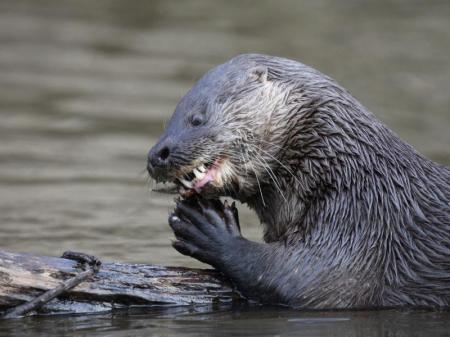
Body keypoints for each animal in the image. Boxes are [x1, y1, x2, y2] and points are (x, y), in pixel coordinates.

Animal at [146, 53, 448, 308]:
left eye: (197, 118)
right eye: (169, 121)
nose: (155, 155)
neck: (351, 171)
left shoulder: (361, 223)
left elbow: (304, 280)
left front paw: (206, 227)